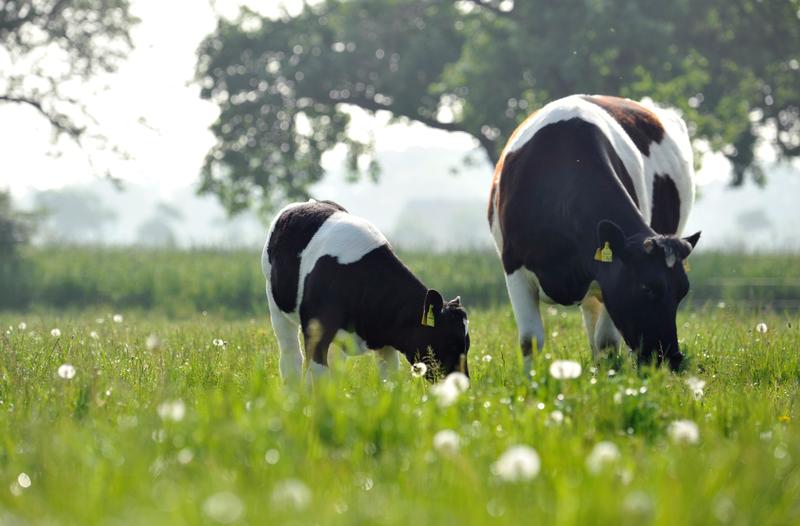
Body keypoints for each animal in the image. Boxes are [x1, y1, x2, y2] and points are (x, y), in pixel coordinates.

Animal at [262, 200, 468, 382]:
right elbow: (319, 377)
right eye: (450, 342)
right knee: (291, 357)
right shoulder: (316, 331)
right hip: (277, 308)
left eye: (467, 345)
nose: (462, 384)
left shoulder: (386, 344)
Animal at [488, 96, 700, 376]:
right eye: (646, 287)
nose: (671, 358)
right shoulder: (514, 267)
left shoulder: (608, 278)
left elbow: (607, 342)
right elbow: (529, 340)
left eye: (682, 292)